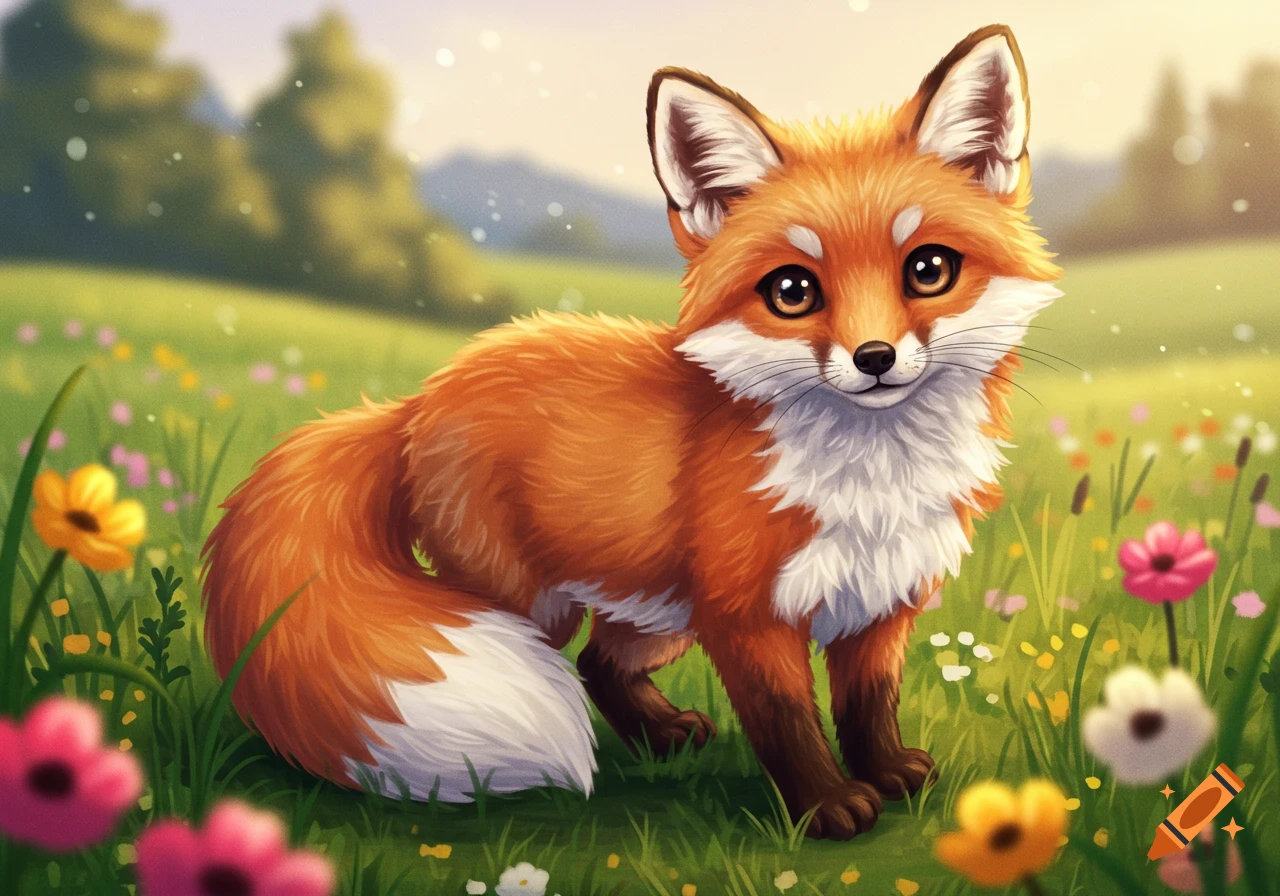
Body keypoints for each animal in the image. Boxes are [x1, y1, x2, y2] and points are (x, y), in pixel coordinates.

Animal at [202, 24, 1061, 839]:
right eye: (792, 290)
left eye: (928, 270)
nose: (875, 358)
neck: (871, 486)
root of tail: (416, 400)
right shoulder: (747, 618)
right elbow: (787, 722)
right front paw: (826, 808)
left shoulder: (883, 601)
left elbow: (868, 705)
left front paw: (886, 773)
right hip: (524, 602)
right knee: (574, 657)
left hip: (657, 613)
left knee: (601, 664)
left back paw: (661, 736)